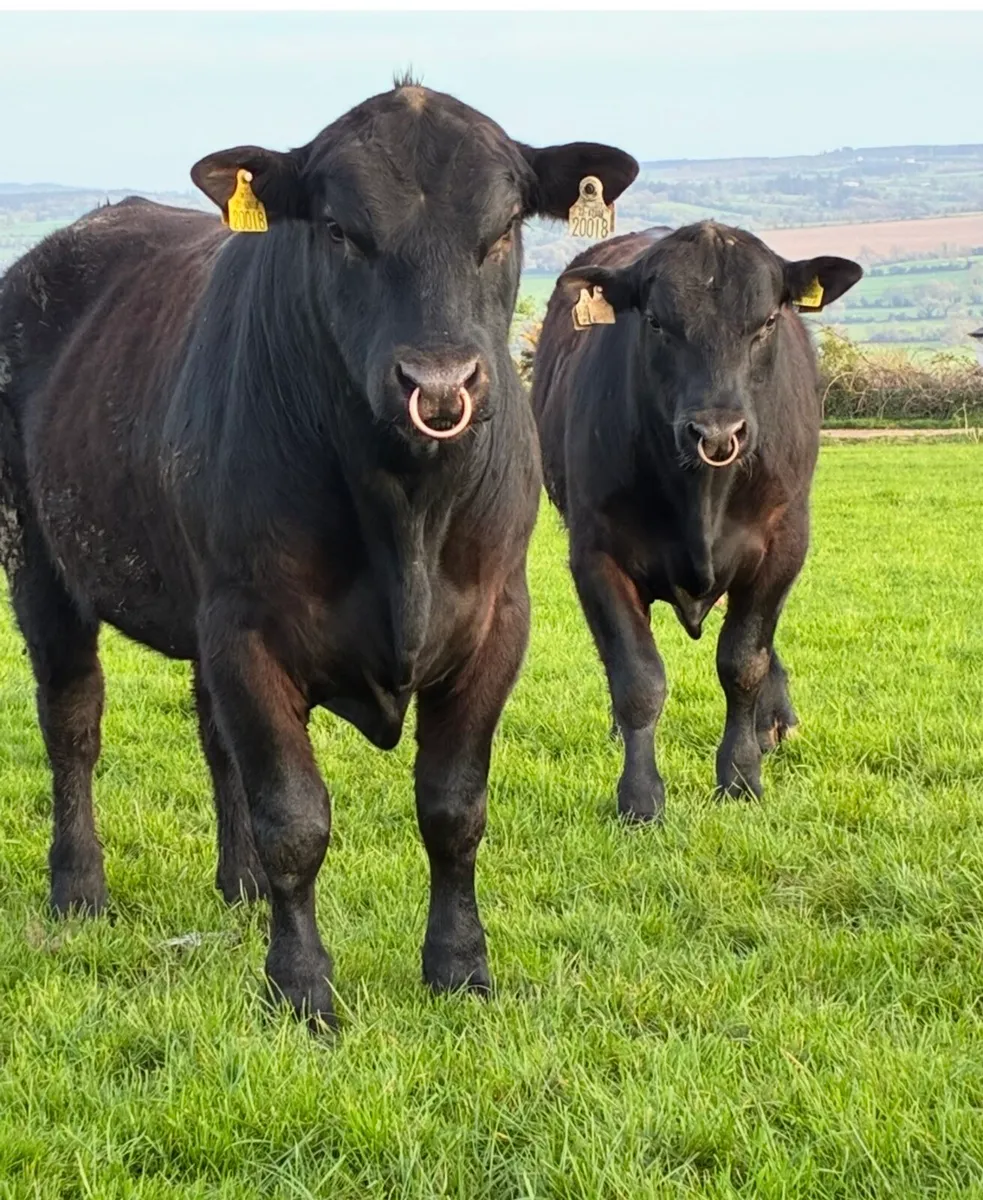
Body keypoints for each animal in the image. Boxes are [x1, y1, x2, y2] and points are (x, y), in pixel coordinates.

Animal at [0, 80, 638, 1026]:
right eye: (339, 230)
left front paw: (460, 967)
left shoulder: (496, 621)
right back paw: (78, 888)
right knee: (72, 722)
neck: (405, 508)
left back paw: (238, 885)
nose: (438, 385)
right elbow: (294, 818)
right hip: (40, 562)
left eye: (501, 230)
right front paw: (300, 985)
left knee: (211, 736)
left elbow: (453, 808)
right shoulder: (249, 630)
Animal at [530, 222, 862, 821]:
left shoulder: (783, 545)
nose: (717, 432)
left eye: (767, 321)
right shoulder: (596, 554)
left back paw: (774, 725)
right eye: (656, 322)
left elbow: (743, 662)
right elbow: (637, 677)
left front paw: (741, 776)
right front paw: (640, 798)